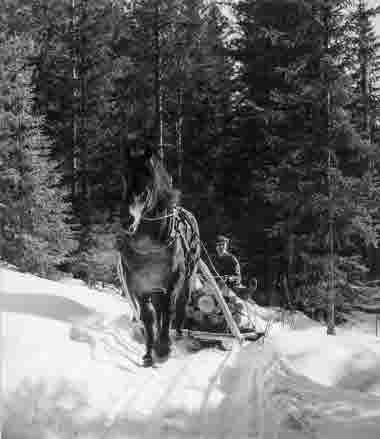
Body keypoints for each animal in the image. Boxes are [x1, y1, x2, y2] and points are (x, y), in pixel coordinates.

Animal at [118, 149, 202, 368]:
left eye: (147, 183)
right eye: (124, 178)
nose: (126, 220)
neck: (149, 247)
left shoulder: (174, 281)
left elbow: (169, 311)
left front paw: (163, 348)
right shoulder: (140, 286)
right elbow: (148, 318)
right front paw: (149, 352)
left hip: (187, 278)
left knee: (178, 307)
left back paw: (177, 334)